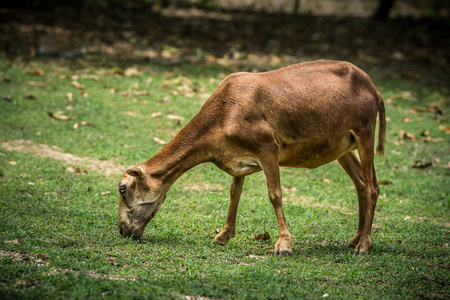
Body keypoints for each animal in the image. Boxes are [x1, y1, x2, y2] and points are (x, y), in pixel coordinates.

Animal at [118, 60, 386, 255]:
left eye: (122, 188)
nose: (122, 229)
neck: (225, 112)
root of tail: (375, 90)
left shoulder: (267, 147)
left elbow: (274, 194)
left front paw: (284, 244)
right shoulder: (238, 159)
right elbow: (234, 193)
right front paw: (223, 236)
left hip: (365, 131)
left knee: (373, 186)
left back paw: (363, 246)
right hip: (343, 146)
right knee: (361, 184)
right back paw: (355, 239)